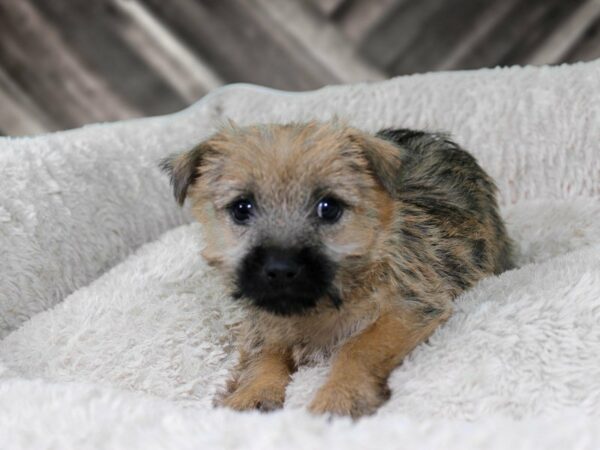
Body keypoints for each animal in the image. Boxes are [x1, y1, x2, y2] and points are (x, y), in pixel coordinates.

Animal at [162, 120, 512, 418]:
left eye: (328, 208)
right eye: (241, 208)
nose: (280, 268)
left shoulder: (407, 307)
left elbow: (359, 347)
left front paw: (340, 398)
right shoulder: (265, 328)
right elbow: (264, 358)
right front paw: (252, 396)